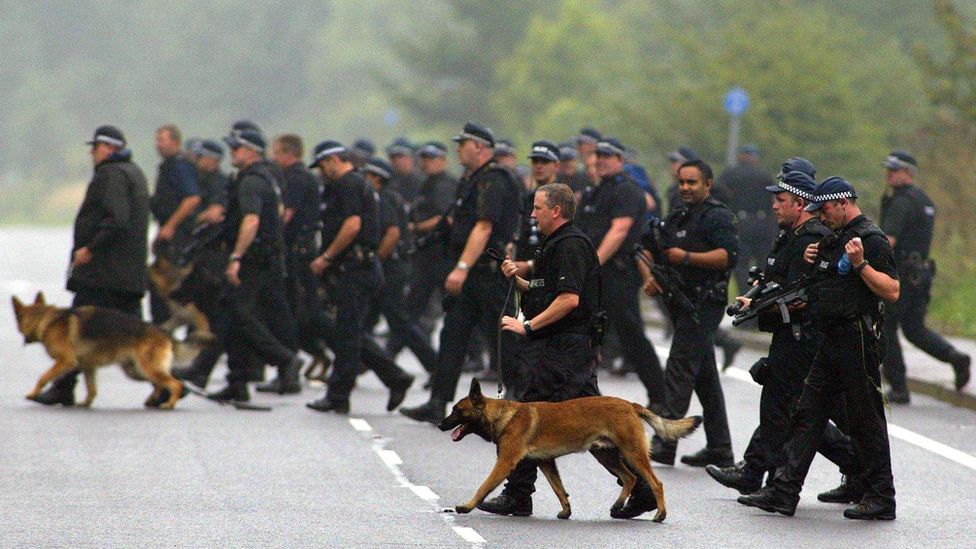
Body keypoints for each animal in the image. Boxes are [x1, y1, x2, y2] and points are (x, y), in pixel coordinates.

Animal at [12, 294, 187, 408]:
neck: (45, 319)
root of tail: (164, 332)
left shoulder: (65, 361)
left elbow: (43, 377)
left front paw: (33, 393)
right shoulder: (88, 367)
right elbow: (92, 389)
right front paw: (86, 403)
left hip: (146, 369)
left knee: (175, 384)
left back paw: (170, 403)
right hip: (136, 371)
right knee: (160, 384)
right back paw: (154, 399)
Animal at [436, 378, 700, 520]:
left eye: (457, 410)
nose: (440, 424)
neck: (502, 415)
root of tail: (631, 405)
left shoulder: (505, 462)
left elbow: (484, 485)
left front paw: (467, 506)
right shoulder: (546, 462)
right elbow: (559, 489)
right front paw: (566, 511)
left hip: (632, 453)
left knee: (655, 482)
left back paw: (659, 514)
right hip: (605, 455)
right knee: (630, 478)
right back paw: (618, 506)